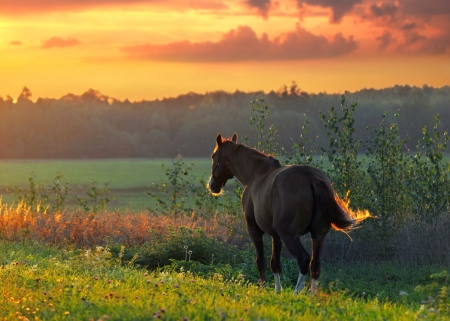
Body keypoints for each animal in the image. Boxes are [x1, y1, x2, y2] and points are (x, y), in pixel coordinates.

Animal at [207, 132, 370, 292]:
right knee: (315, 264)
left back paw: (296, 293)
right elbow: (275, 263)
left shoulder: (254, 229)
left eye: (213, 156)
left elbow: (261, 261)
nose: (212, 185)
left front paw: (264, 289)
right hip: (318, 235)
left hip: (289, 236)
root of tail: (312, 179)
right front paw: (277, 291)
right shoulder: (276, 235)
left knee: (304, 260)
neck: (257, 173)